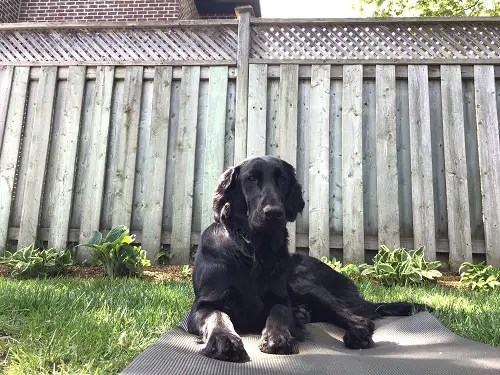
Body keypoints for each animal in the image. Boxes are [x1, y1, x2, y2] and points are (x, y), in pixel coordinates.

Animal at [188, 156, 426, 362]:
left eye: (282, 179)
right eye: (251, 179)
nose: (274, 213)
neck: (254, 250)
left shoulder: (280, 298)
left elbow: (279, 311)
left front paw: (278, 337)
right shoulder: (201, 306)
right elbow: (218, 317)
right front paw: (225, 340)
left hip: (304, 283)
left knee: (360, 319)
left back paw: (355, 334)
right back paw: (302, 314)